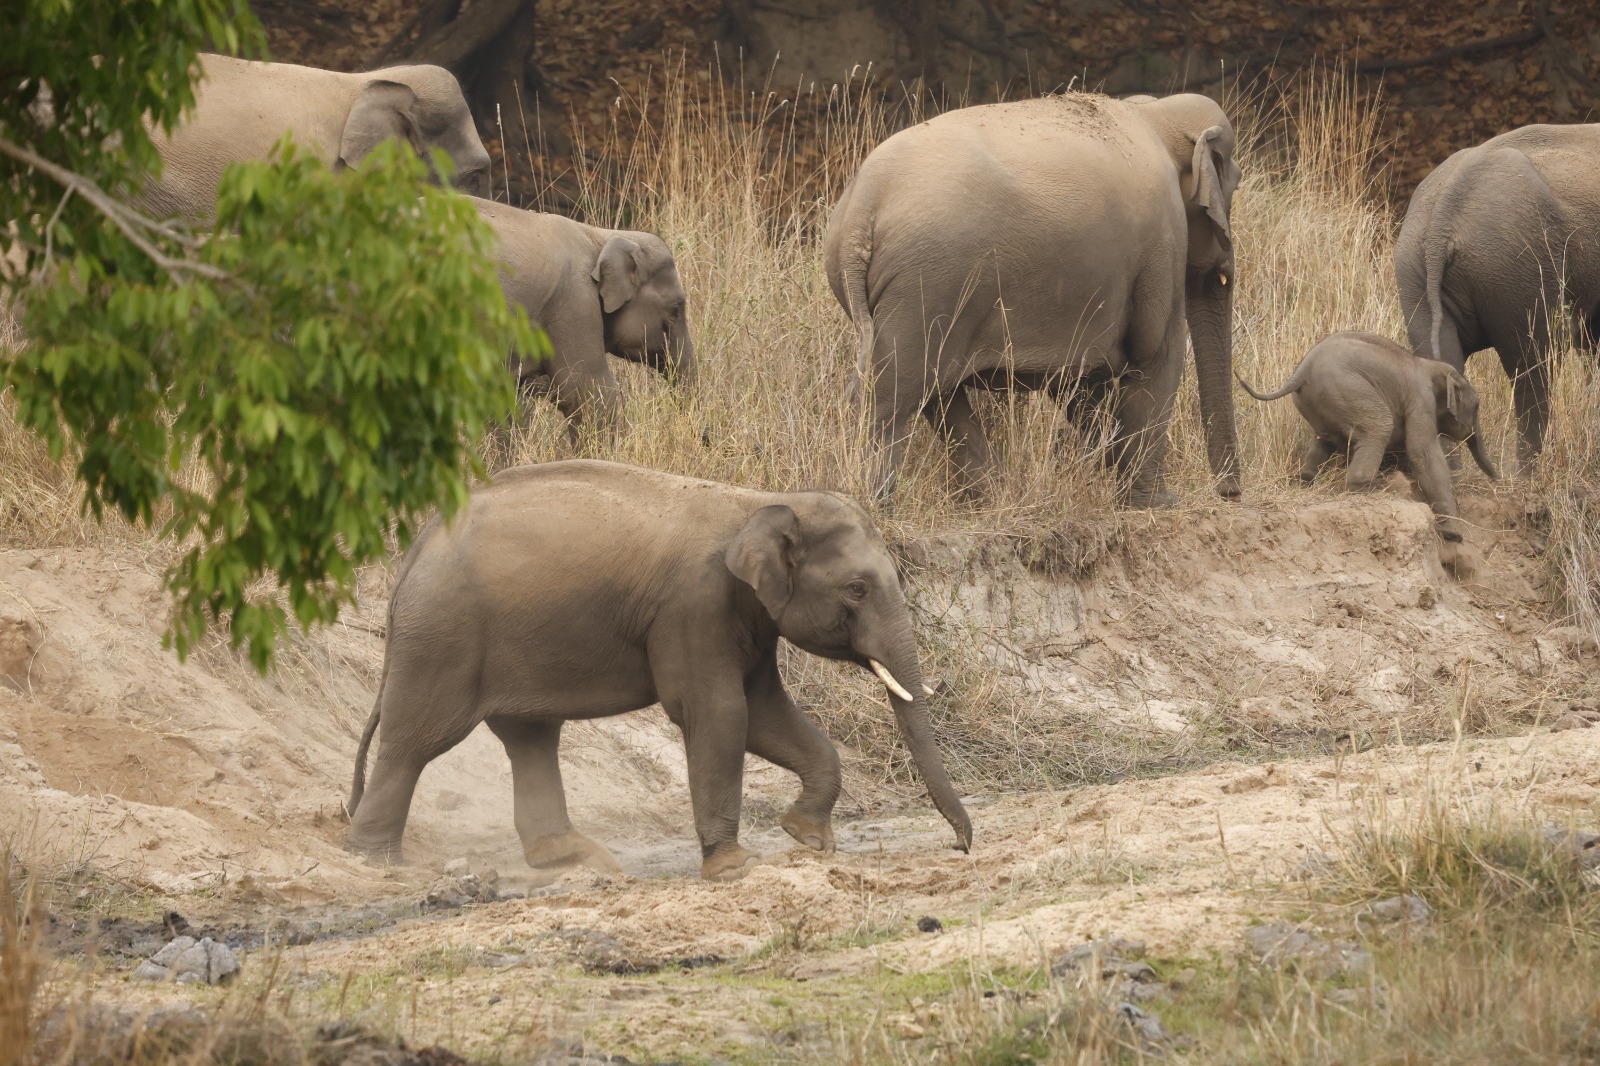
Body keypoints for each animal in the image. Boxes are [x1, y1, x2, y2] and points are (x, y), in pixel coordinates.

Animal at [343, 460, 971, 882]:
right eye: (858, 589)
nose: (964, 846)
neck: (761, 502)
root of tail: (415, 548)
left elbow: (766, 715)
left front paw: (809, 839)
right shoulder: (692, 606)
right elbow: (720, 713)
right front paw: (736, 867)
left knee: (530, 737)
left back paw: (575, 859)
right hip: (443, 638)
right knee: (417, 739)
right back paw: (374, 861)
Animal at [823, 91, 1243, 507]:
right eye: (1234, 187)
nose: (1231, 493)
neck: (1154, 113)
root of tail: (862, 208)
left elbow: (1081, 381)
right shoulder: (1163, 241)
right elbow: (1157, 355)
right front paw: (1156, 502)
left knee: (936, 393)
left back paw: (996, 497)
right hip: (927, 285)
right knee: (896, 393)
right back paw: (878, 501)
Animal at [1238, 331, 1499, 542]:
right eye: (1477, 406)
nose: (1498, 479)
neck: (1433, 366)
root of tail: (1299, 373)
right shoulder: (1421, 400)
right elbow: (1422, 452)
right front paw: (1454, 534)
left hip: (1319, 401)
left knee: (1324, 441)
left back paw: (1308, 481)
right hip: (1347, 390)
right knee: (1379, 426)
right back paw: (1377, 488)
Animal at [1396, 123, 1600, 474]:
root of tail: (1442, 220)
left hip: (1414, 269)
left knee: (1440, 363)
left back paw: (1453, 473)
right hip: (1514, 264)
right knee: (1533, 364)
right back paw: (1526, 474)